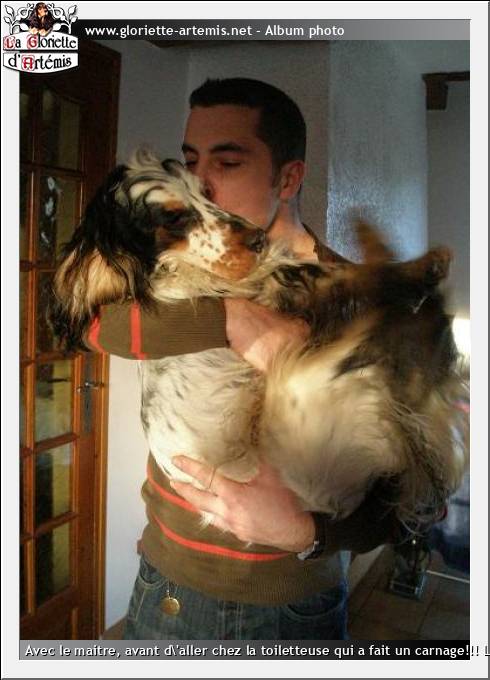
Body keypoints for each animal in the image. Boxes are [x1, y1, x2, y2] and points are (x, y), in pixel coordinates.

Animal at [50, 149, 468, 527]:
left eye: (207, 192)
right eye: (174, 217)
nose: (258, 240)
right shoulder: (277, 286)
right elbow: (354, 275)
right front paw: (423, 267)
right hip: (312, 388)